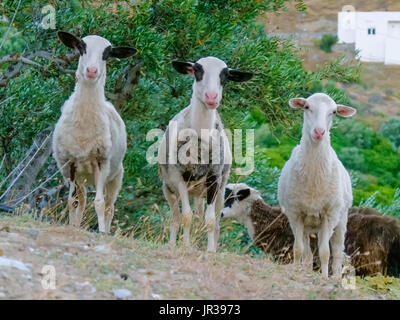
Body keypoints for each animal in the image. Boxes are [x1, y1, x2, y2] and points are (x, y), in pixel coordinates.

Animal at [52, 31, 137, 232]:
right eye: (81, 47)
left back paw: (106, 229)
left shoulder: (102, 163)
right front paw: (72, 226)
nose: (91, 71)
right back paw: (76, 224)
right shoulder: (69, 164)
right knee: (82, 200)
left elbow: (99, 203)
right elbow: (72, 201)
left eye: (107, 54)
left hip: (115, 176)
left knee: (109, 207)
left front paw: (101, 231)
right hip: (81, 177)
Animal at [157, 57, 253, 252]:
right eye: (197, 70)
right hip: (169, 189)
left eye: (226, 75)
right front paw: (185, 246)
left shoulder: (214, 179)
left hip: (218, 190)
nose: (211, 97)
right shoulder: (179, 179)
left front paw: (210, 250)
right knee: (176, 217)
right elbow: (186, 216)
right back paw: (172, 243)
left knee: (214, 221)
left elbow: (209, 221)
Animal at [276, 92, 354, 278]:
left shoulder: (329, 215)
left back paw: (336, 276)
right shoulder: (295, 214)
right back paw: (305, 269)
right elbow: (298, 249)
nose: (319, 132)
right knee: (307, 253)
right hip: (306, 224)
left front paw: (324, 277)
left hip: (341, 219)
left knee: (337, 251)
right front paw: (296, 270)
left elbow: (325, 252)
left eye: (334, 112)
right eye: (307, 107)